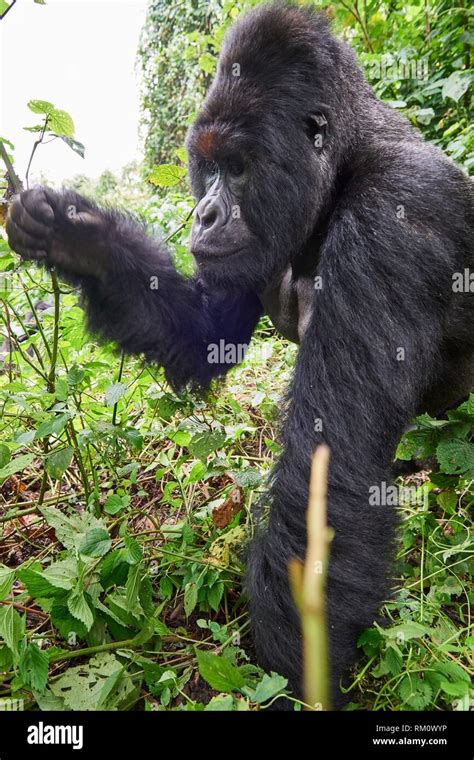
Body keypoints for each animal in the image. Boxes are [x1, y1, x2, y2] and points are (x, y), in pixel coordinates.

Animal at [4, 2, 474, 708]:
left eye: (239, 166)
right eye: (208, 167)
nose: (203, 214)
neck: (341, 167)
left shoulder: (399, 209)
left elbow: (331, 475)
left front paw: (293, 673)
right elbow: (202, 335)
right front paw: (77, 237)